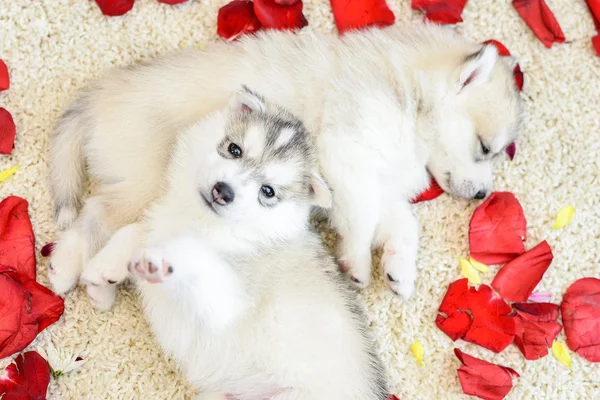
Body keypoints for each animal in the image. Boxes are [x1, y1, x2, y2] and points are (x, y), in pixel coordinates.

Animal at [49, 21, 524, 300]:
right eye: (485, 147)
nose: (483, 194)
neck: (403, 95)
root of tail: (98, 95)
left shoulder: (375, 179)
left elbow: (402, 222)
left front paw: (398, 268)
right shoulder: (348, 159)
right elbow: (363, 220)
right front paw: (357, 263)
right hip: (144, 179)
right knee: (94, 216)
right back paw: (64, 270)